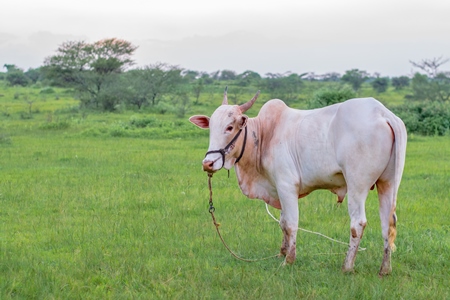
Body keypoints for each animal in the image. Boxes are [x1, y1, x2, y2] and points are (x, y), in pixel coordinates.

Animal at [188, 88, 406, 276]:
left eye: (230, 127)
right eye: (211, 128)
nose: (208, 163)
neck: (265, 134)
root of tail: (382, 113)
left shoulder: (286, 186)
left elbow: (291, 224)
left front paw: (289, 260)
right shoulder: (278, 188)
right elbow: (283, 222)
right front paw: (282, 253)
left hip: (357, 186)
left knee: (358, 223)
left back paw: (347, 266)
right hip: (387, 183)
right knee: (388, 223)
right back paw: (385, 269)